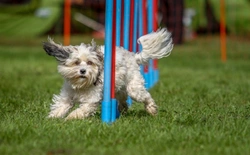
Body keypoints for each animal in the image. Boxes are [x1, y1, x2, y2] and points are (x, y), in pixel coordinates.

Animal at [43, 27, 173, 120]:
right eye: (76, 62)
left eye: (90, 62)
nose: (83, 71)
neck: (82, 86)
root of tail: (133, 57)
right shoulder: (67, 96)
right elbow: (61, 106)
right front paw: (52, 118)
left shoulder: (91, 100)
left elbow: (82, 109)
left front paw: (71, 117)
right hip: (118, 88)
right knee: (123, 99)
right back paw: (122, 109)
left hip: (134, 88)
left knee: (146, 96)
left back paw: (151, 109)